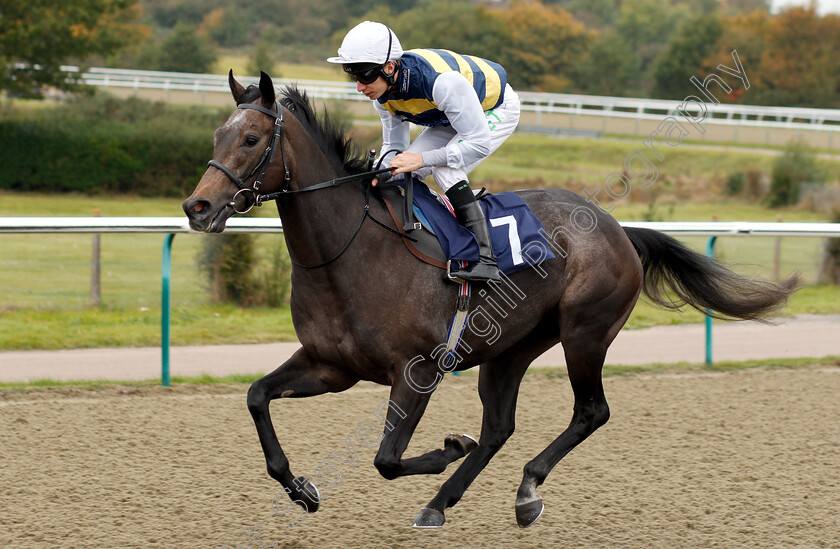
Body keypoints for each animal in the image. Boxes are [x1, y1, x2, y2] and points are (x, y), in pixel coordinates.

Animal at [184, 71, 800, 528]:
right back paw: (442, 503)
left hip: (583, 334)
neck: (349, 253)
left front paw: (447, 447)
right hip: (511, 348)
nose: (197, 208)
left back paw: (524, 490)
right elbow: (257, 397)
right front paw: (301, 489)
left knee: (590, 411)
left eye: (252, 140)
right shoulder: (330, 366)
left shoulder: (416, 371)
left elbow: (386, 459)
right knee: (500, 426)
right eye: (216, 136)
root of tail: (619, 229)